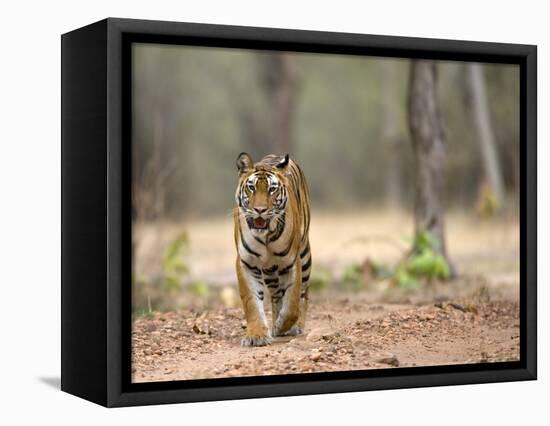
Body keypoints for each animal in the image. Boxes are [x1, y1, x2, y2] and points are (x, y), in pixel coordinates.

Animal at [233, 152, 312, 346]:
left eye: (272, 189)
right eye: (251, 187)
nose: (260, 210)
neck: (266, 236)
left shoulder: (292, 263)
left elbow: (292, 303)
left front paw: (282, 326)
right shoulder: (246, 263)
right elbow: (252, 302)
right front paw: (256, 336)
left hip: (304, 254)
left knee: (304, 293)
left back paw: (295, 326)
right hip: (269, 271)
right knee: (276, 296)